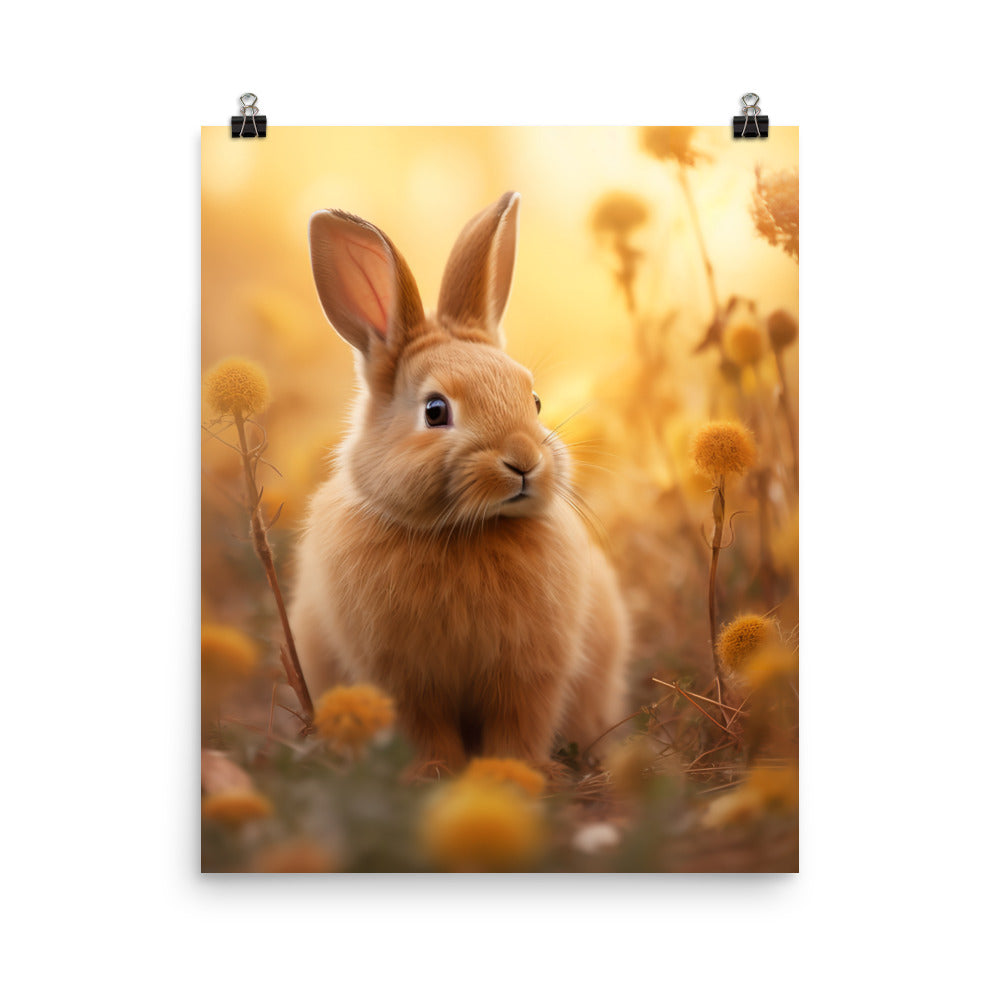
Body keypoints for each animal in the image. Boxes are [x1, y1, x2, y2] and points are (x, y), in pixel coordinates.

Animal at [289, 191, 628, 770]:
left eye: (534, 400)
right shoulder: (403, 678)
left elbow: (519, 723)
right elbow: (425, 726)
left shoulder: (530, 670)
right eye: (435, 411)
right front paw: (436, 773)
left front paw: (511, 773)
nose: (523, 461)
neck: (467, 531)